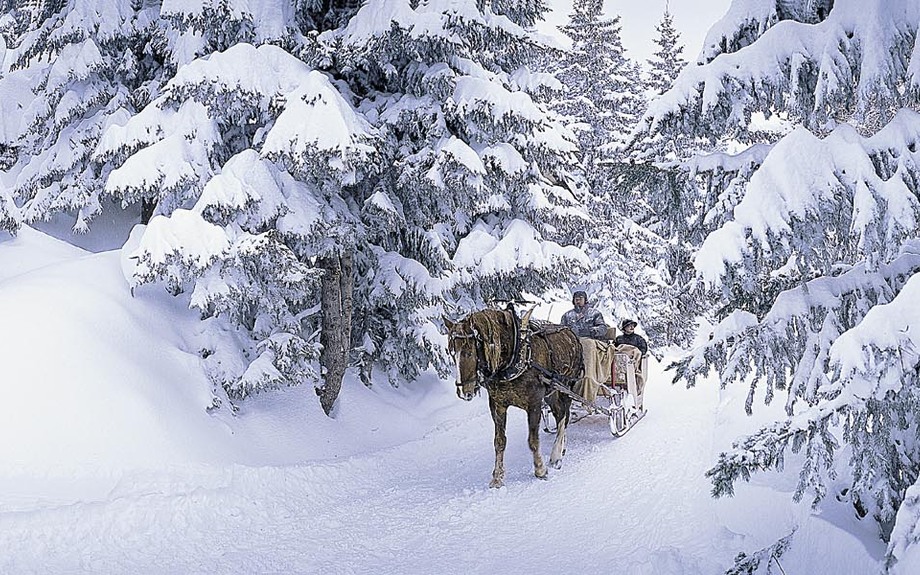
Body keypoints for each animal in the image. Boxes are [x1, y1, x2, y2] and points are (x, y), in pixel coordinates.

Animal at [444, 308, 584, 488]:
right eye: (451, 352)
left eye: (469, 352)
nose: (463, 391)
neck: (514, 358)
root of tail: (573, 334)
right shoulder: (497, 404)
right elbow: (499, 441)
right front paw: (497, 477)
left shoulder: (534, 404)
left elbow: (533, 440)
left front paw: (540, 470)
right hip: (551, 392)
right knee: (560, 414)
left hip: (566, 387)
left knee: (564, 417)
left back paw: (556, 455)